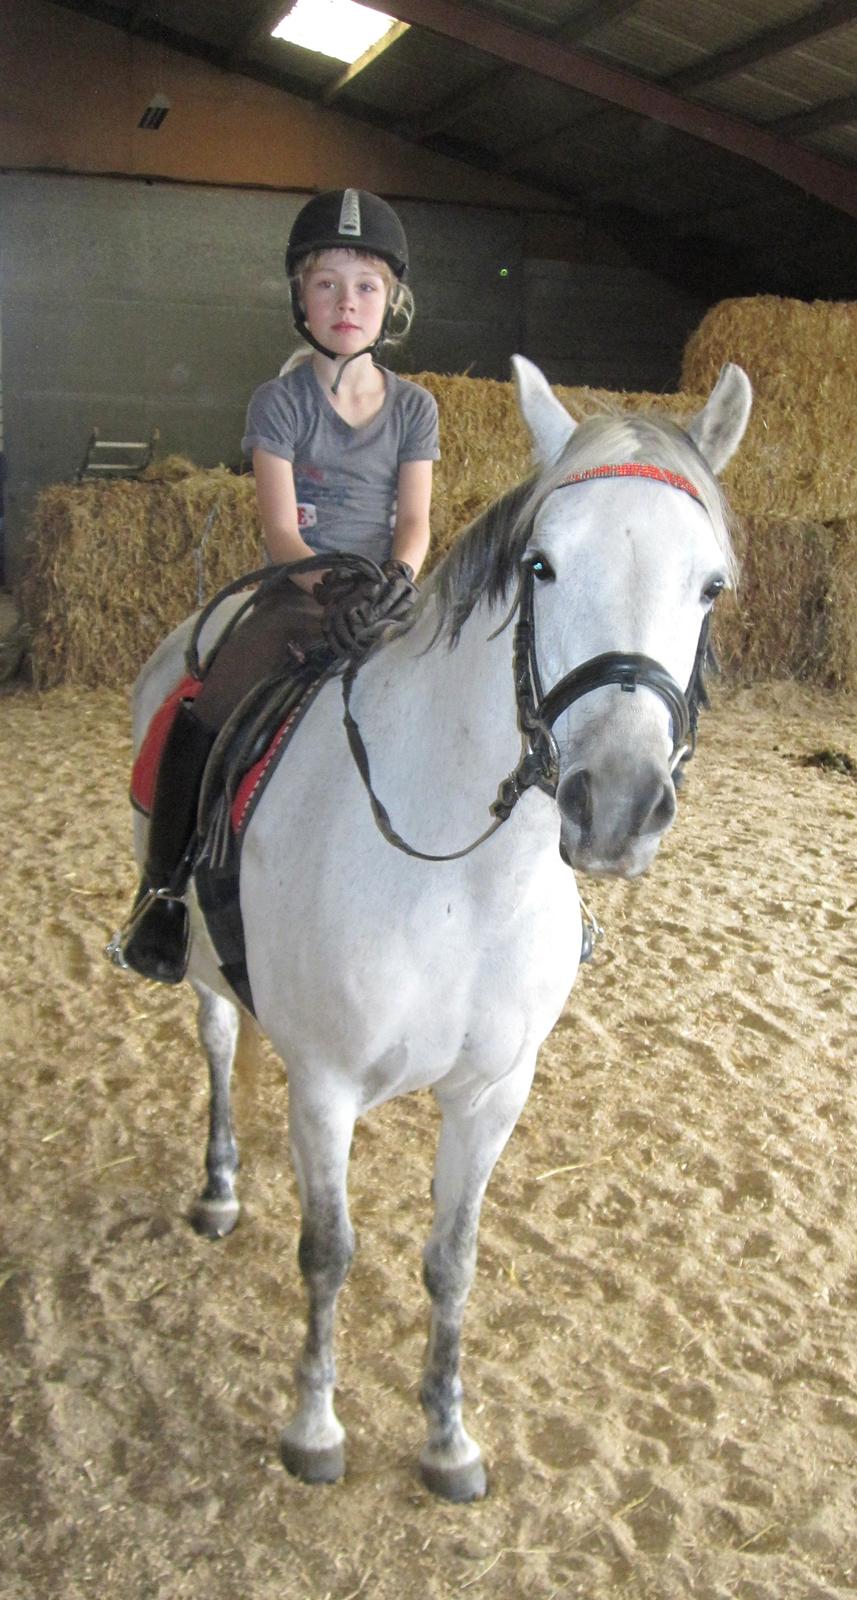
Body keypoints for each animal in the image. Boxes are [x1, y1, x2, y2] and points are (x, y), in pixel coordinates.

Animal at [124, 355, 751, 1501]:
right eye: (543, 565)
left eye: (710, 585)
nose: (616, 803)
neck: (463, 878)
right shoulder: (325, 1085)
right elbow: (328, 1252)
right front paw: (314, 1427)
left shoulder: (491, 1092)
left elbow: (451, 1260)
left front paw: (447, 1438)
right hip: (191, 959)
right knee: (220, 1039)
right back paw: (221, 1188)